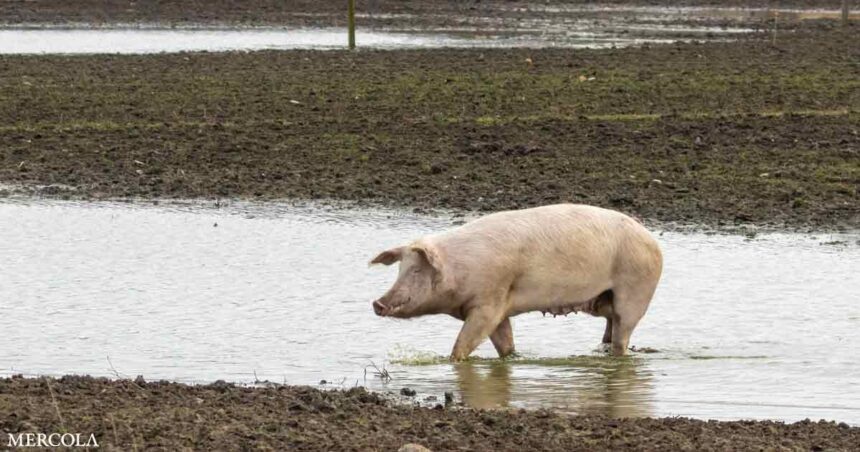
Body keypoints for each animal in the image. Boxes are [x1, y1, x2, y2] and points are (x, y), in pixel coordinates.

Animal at [366, 204, 660, 360]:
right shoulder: (500, 310)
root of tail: (653, 241)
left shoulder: (488, 303)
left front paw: (451, 361)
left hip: (635, 291)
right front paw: (512, 358)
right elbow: (505, 344)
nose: (377, 303)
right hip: (602, 300)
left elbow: (464, 343)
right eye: (400, 268)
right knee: (609, 329)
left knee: (622, 334)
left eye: (416, 270)